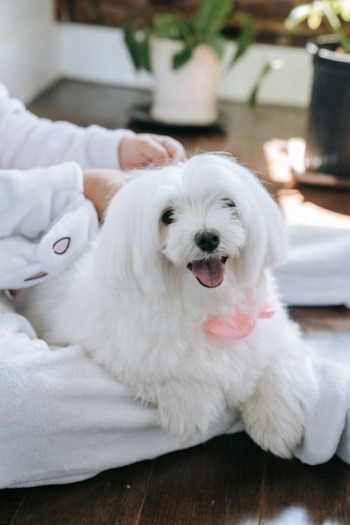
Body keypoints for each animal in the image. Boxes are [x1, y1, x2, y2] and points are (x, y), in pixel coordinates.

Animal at [15, 154, 308, 456]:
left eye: (228, 204)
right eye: (167, 216)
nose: (207, 237)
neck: (206, 307)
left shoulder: (275, 332)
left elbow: (279, 367)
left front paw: (276, 424)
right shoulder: (120, 350)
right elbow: (167, 372)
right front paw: (193, 405)